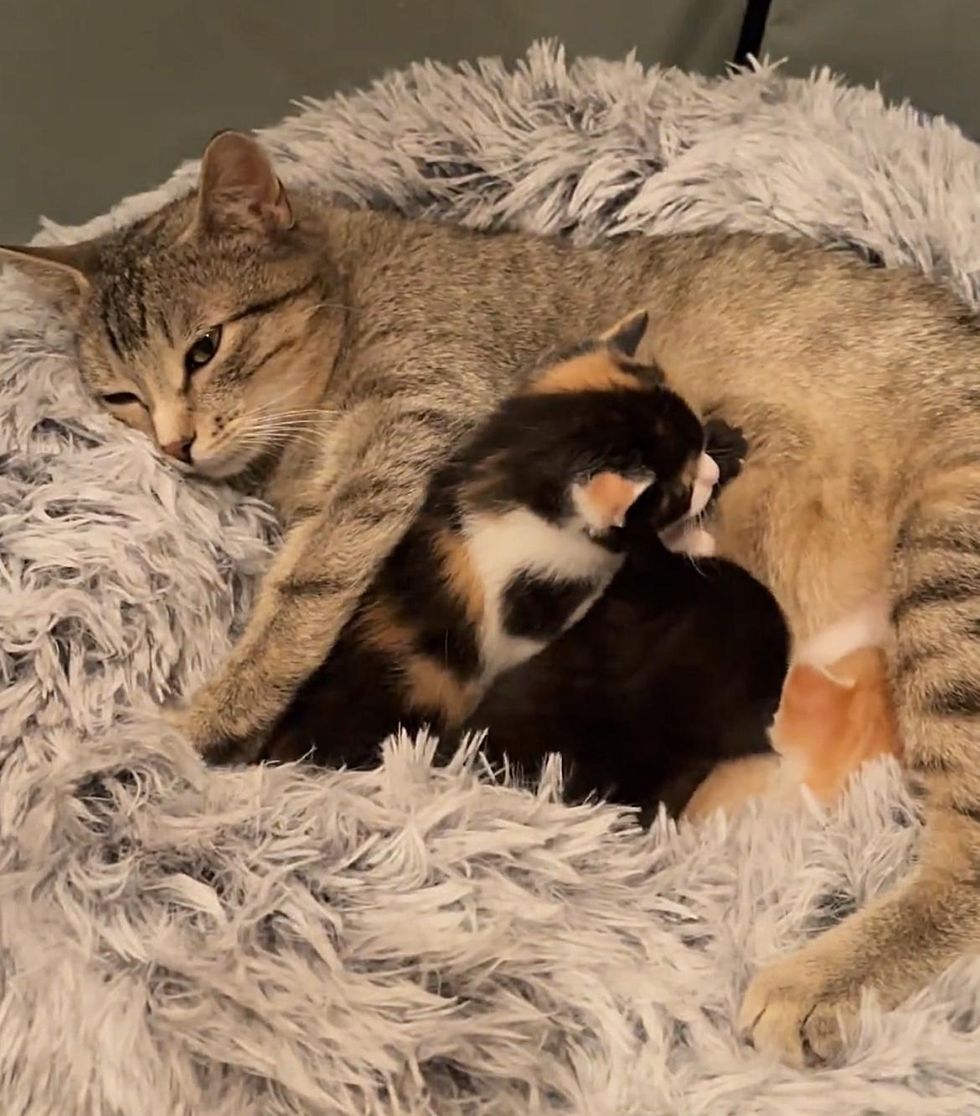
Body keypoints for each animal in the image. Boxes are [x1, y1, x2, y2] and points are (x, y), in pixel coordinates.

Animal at [261, 314, 723, 767]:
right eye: (681, 489)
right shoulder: (533, 613)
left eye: (701, 442)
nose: (715, 474)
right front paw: (694, 544)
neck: (513, 470)